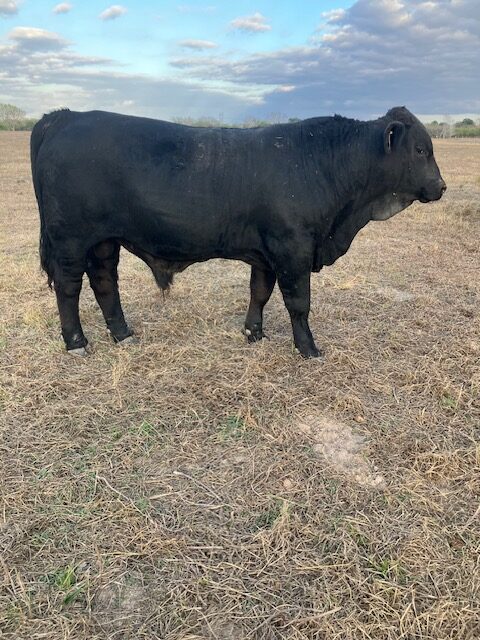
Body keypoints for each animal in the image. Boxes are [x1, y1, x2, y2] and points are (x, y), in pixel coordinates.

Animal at [30, 106, 446, 358]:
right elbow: (299, 302)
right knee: (69, 288)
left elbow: (259, 292)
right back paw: (76, 342)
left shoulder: (265, 254)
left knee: (104, 282)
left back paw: (123, 334)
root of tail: (64, 117)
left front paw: (253, 333)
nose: (441, 186)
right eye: (420, 150)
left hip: (103, 241)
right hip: (70, 239)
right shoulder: (293, 247)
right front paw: (308, 348)